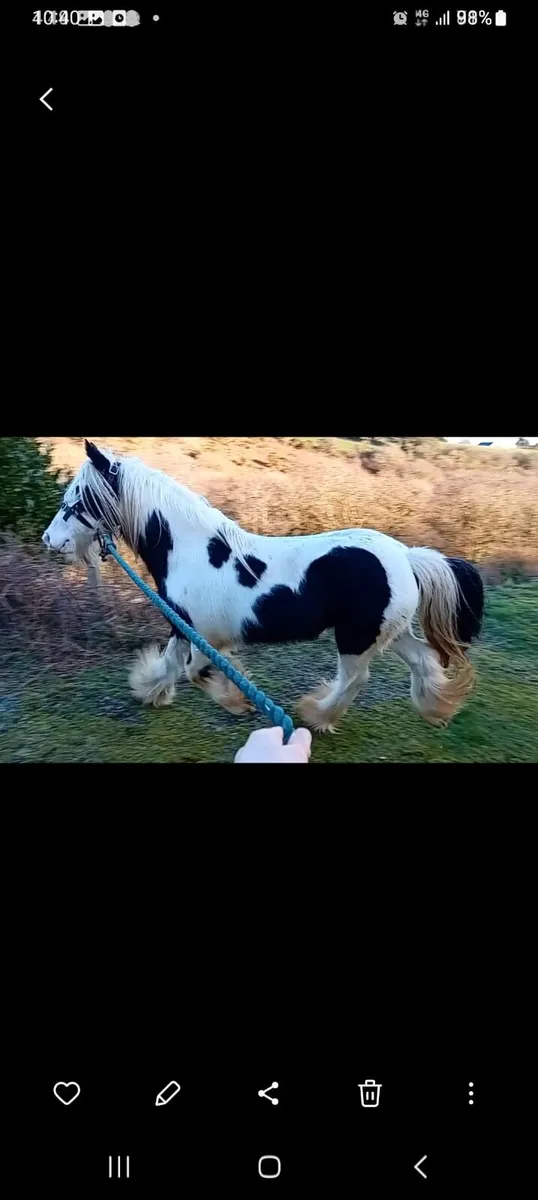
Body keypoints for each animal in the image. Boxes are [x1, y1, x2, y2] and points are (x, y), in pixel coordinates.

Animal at [42, 440, 485, 732]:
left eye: (78, 497)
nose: (50, 539)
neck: (192, 550)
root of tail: (407, 557)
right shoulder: (182, 627)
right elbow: (171, 665)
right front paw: (150, 692)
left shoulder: (202, 636)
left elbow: (196, 672)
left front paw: (240, 704)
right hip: (389, 632)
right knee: (423, 660)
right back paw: (437, 709)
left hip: (356, 639)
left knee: (355, 680)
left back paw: (316, 716)